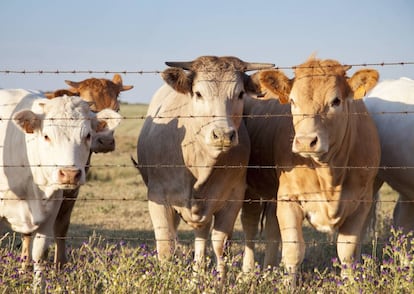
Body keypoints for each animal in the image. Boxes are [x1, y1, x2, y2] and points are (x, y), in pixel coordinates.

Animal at [0, 89, 121, 288]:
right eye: (47, 136)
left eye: (88, 135)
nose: (70, 174)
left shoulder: (50, 211)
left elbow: (40, 255)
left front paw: (38, 287)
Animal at [19, 74, 133, 272]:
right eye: (91, 108)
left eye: (117, 108)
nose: (105, 141)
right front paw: (24, 265)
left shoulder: (72, 190)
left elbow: (62, 226)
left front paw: (60, 265)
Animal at [136, 55, 274, 278]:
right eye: (199, 93)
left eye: (240, 94)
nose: (223, 135)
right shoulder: (157, 198)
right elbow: (165, 247)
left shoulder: (233, 197)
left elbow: (219, 244)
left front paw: (220, 280)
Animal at [241, 56, 380, 284]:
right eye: (292, 101)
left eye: (336, 101)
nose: (306, 141)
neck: (330, 176)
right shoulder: (289, 198)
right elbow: (293, 251)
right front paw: (287, 285)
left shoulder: (362, 202)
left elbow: (347, 253)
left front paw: (350, 283)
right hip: (251, 190)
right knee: (250, 226)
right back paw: (247, 273)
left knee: (271, 230)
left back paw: (269, 269)